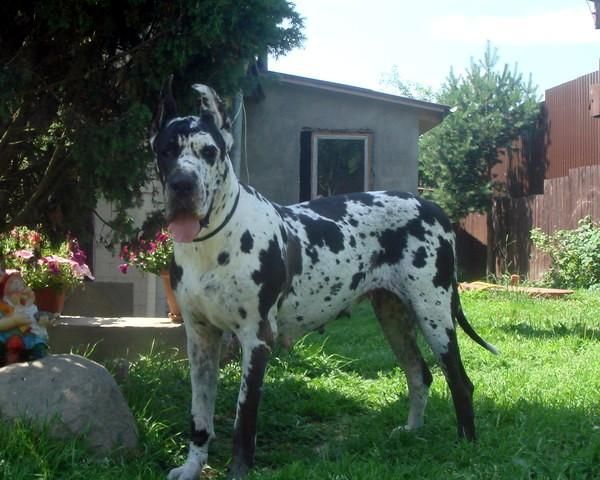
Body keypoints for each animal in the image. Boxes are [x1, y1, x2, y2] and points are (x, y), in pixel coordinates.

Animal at [150, 79, 497, 480]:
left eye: (209, 151)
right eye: (166, 151)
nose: (182, 184)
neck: (210, 246)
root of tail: (433, 207)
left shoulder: (257, 339)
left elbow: (244, 420)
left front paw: (237, 471)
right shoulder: (200, 340)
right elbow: (199, 417)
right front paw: (192, 466)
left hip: (434, 315)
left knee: (460, 381)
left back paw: (466, 445)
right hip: (394, 318)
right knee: (419, 374)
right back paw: (411, 431)